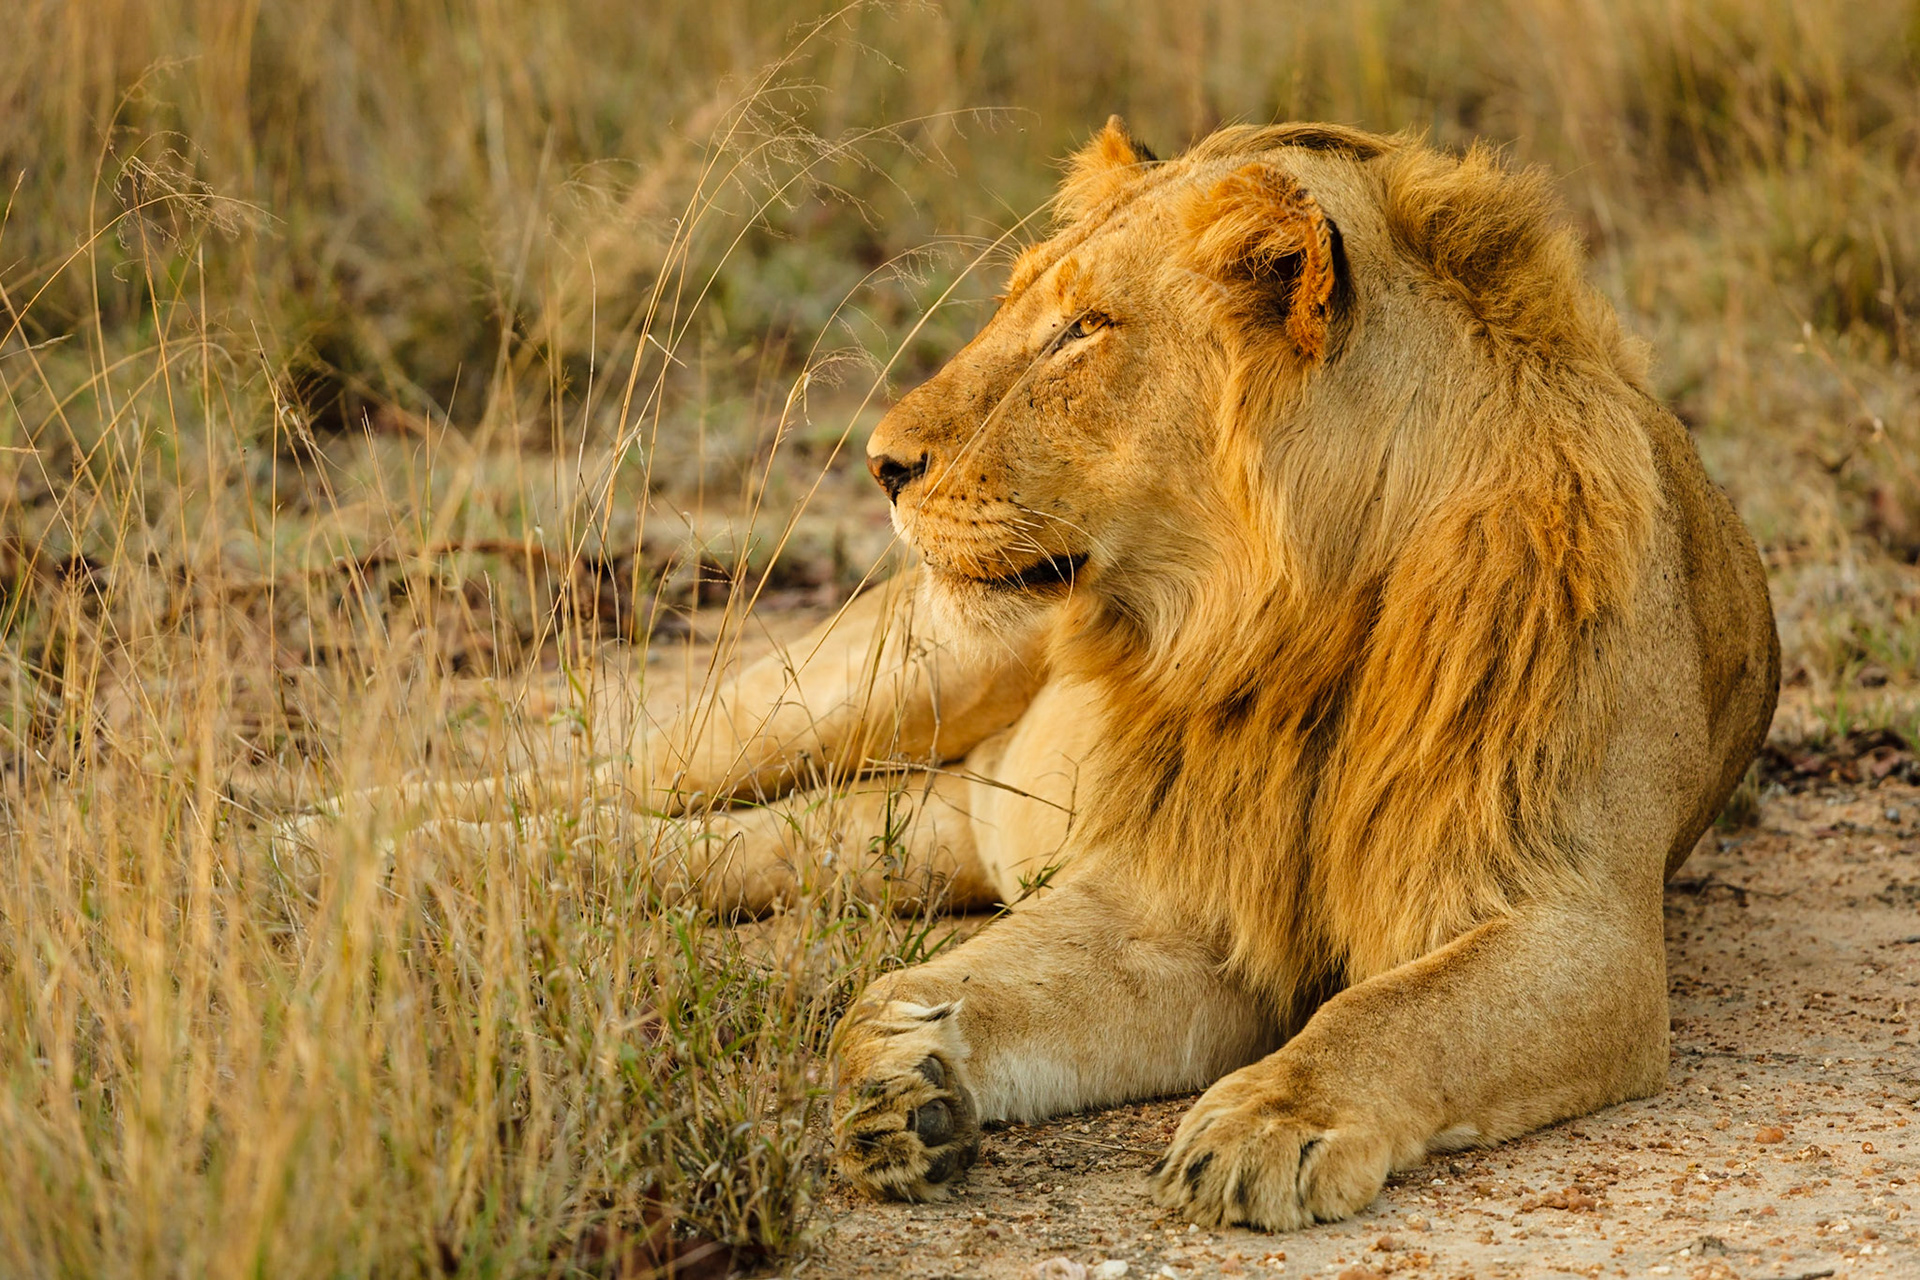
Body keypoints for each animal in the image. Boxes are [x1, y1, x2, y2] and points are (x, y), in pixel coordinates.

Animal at [304, 117, 1778, 1231]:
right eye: (1023, 308)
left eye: (1084, 332)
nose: (883, 462)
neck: (1287, 621)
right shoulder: (1181, 897)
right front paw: (896, 1072)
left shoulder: (1570, 922)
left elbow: (1397, 1011)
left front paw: (1264, 1121)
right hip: (875, 676)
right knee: (615, 772)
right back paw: (337, 834)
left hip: (927, 824)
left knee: (711, 847)